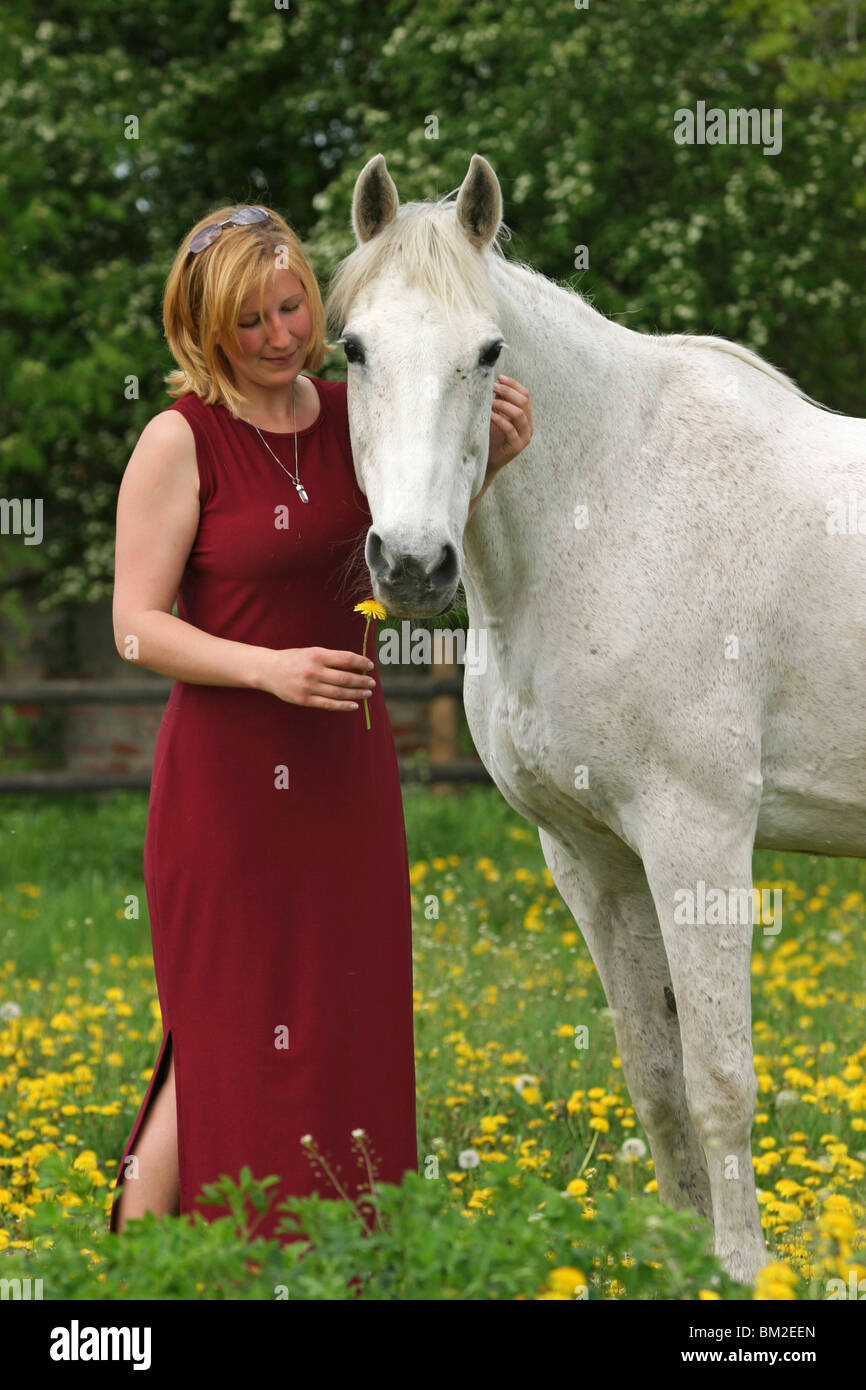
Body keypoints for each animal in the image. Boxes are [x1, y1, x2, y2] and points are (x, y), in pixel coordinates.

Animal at [325, 152, 866, 1278]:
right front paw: (677, 1254)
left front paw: (741, 1270)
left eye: (487, 352)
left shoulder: (698, 835)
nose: (412, 564)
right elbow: (654, 1076)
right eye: (352, 347)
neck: (614, 506)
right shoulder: (589, 856)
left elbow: (719, 1077)